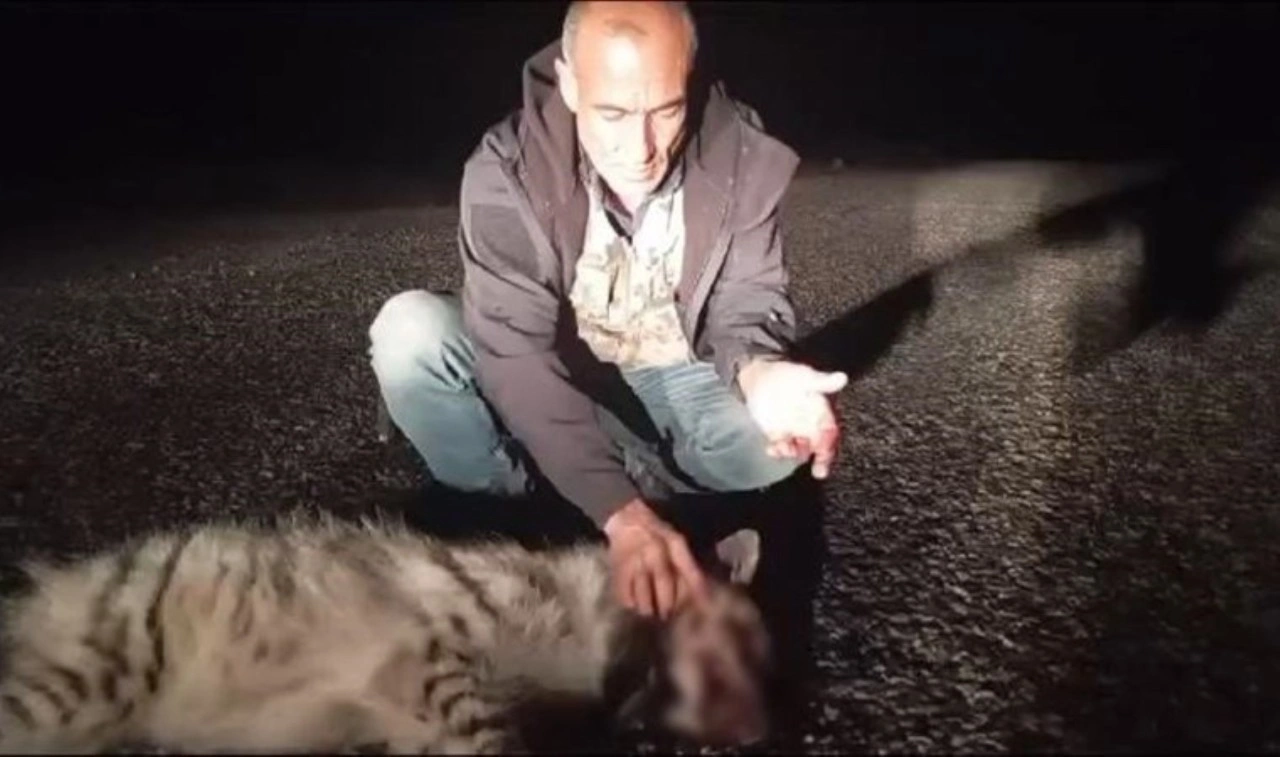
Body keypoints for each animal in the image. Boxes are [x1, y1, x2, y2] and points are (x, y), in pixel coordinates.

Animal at [0, 510, 771, 754]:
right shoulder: (433, 648)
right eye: (726, 656)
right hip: (100, 664)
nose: (758, 731)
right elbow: (490, 728)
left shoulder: (414, 716)